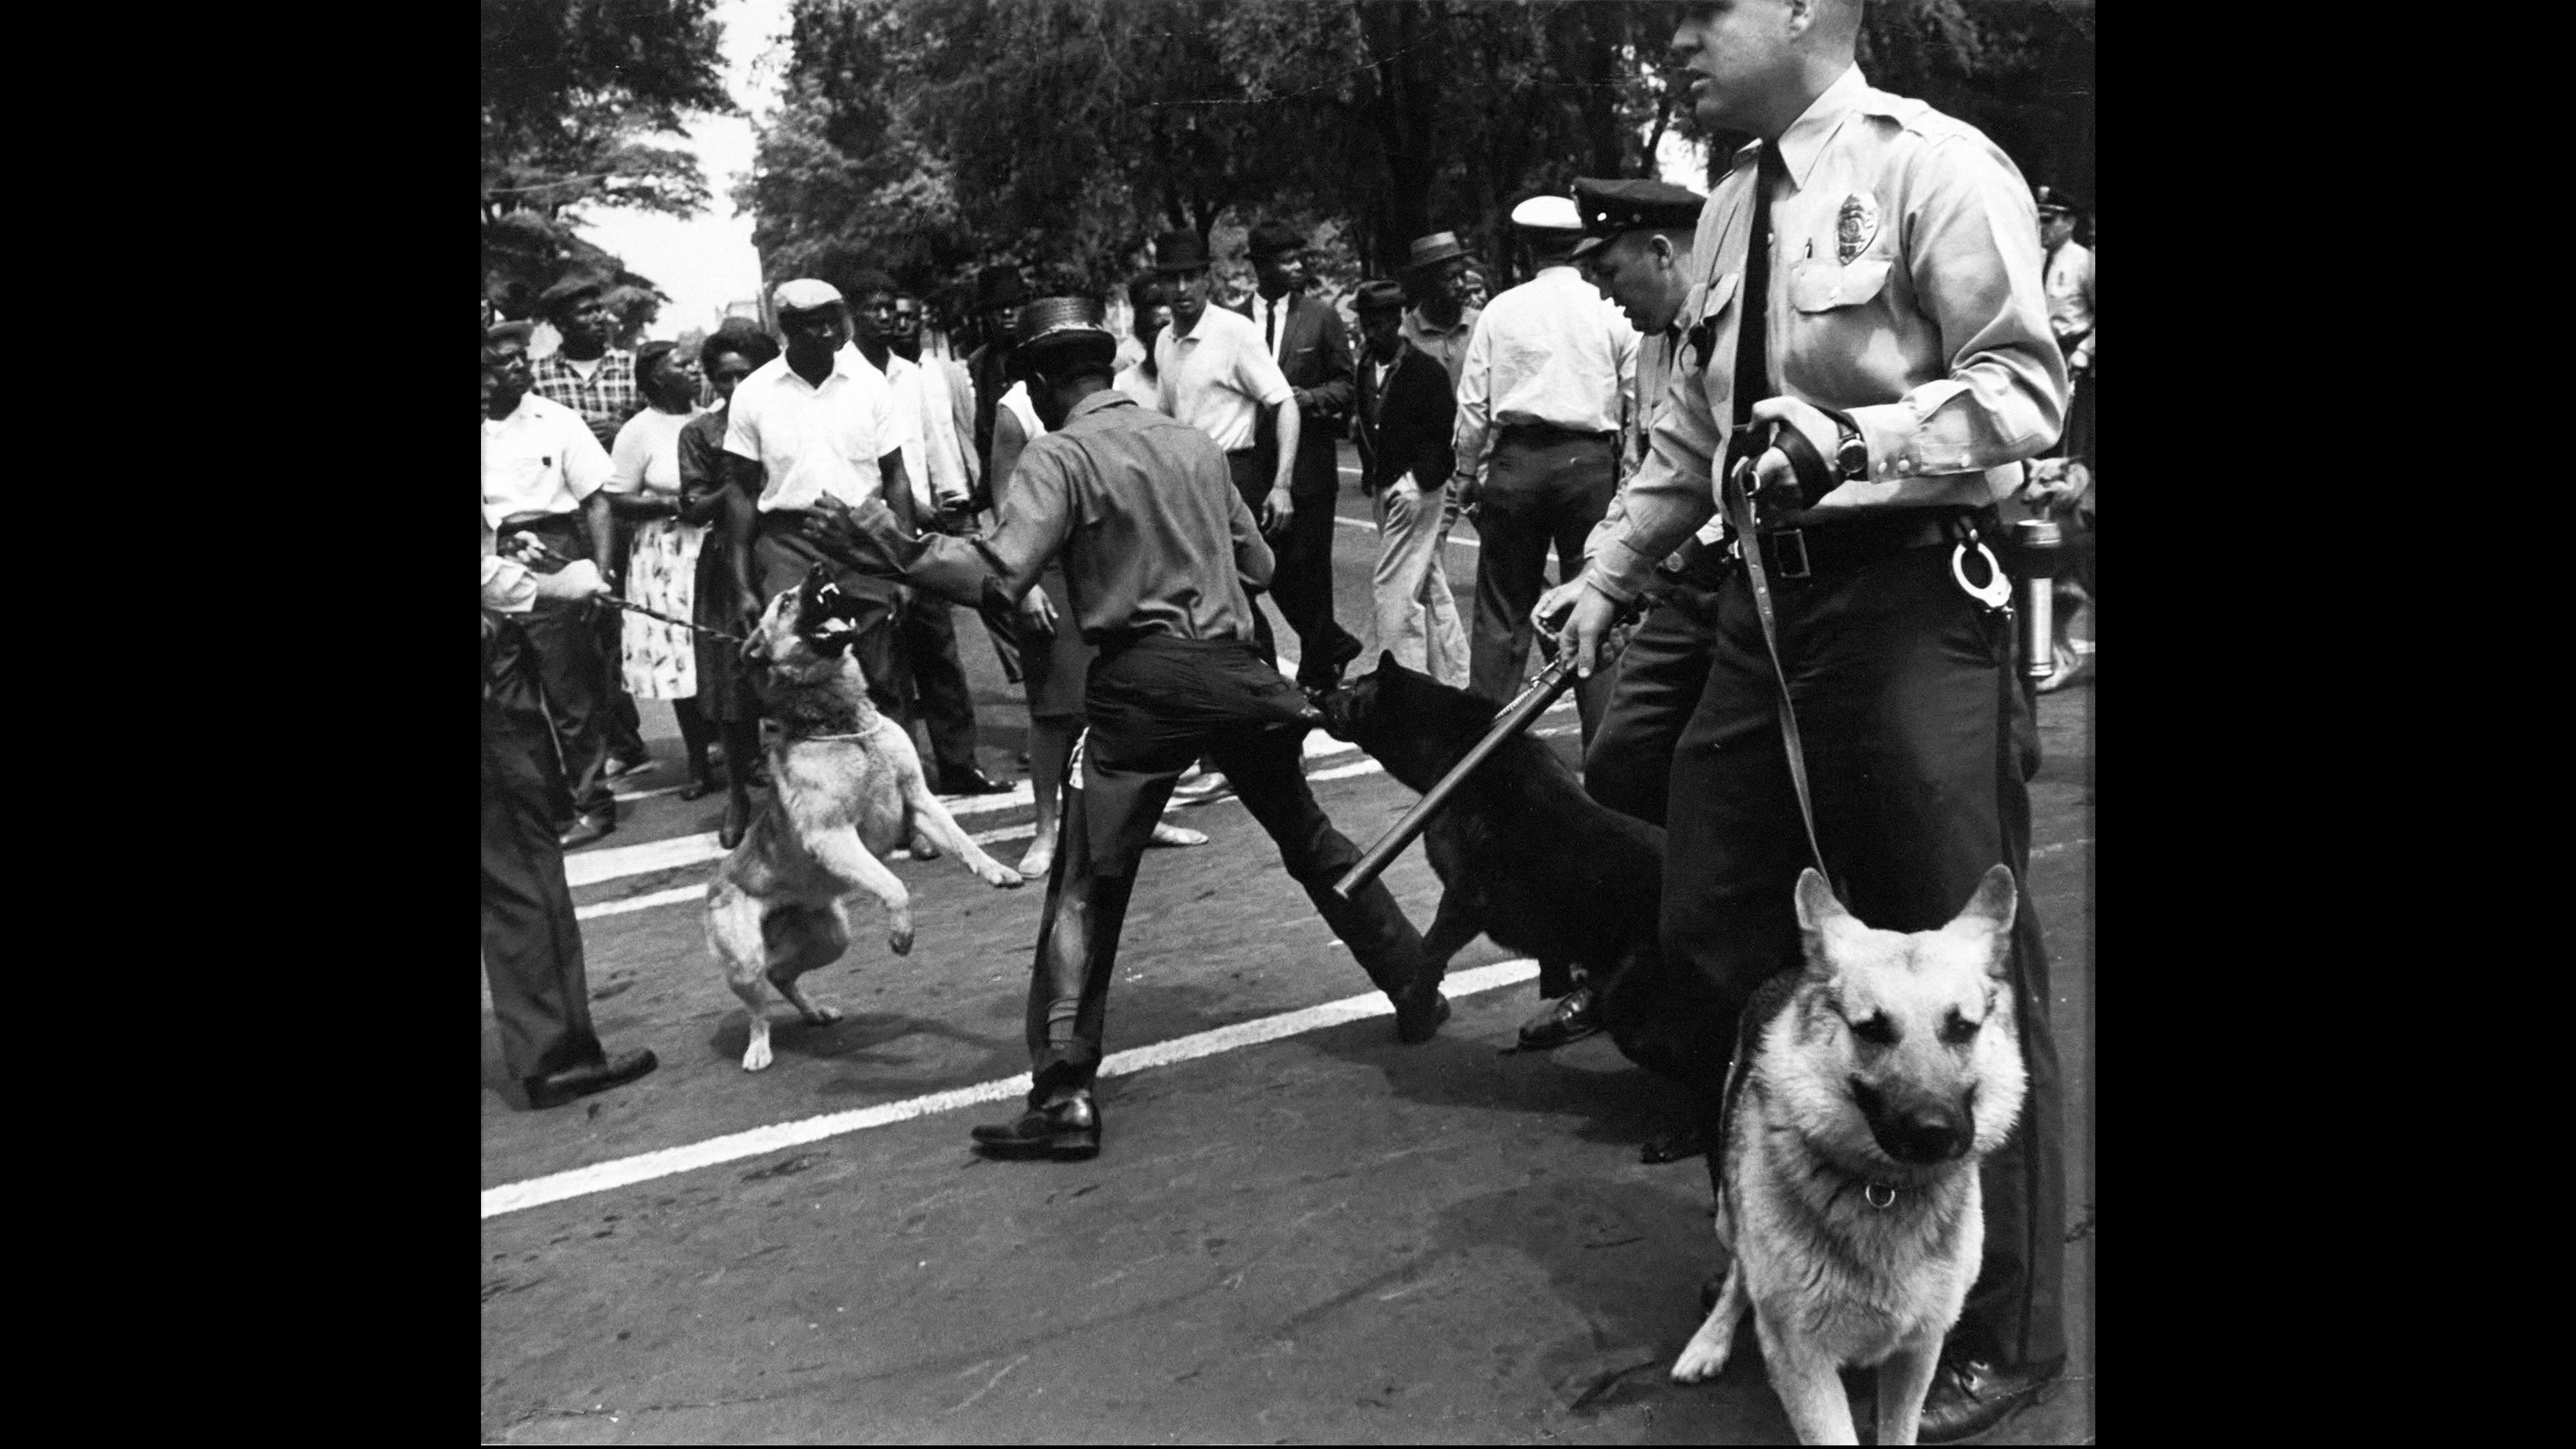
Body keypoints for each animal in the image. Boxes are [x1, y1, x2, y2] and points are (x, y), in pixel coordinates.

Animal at [710, 559, 1030, 1067]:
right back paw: (759, 1049)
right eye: (785, 601)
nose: (819, 566)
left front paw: (997, 871)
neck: (842, 724)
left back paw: (816, 1012)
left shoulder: (919, 799)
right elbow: (894, 886)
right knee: (758, 1006)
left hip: (830, 937)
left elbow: (963, 842)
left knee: (782, 976)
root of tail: (715, 883)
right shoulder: (834, 836)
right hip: (745, 961)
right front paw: (902, 934)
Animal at [1308, 652, 1731, 1083]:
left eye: (1354, 686)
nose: (1312, 691)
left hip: (1633, 1003)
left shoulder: (1464, 898)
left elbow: (1430, 952)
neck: (1461, 742)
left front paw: (1417, 1015)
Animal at [1669, 861, 2029, 1433]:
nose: (1935, 1132)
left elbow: (1900, 1429)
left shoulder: (1918, 1352)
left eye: (1961, 1028)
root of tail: (1794, 974)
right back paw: (1711, 1339)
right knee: (1738, 1275)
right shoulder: (1804, 1365)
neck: (1882, 1189)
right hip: (1729, 1214)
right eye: (1873, 1030)